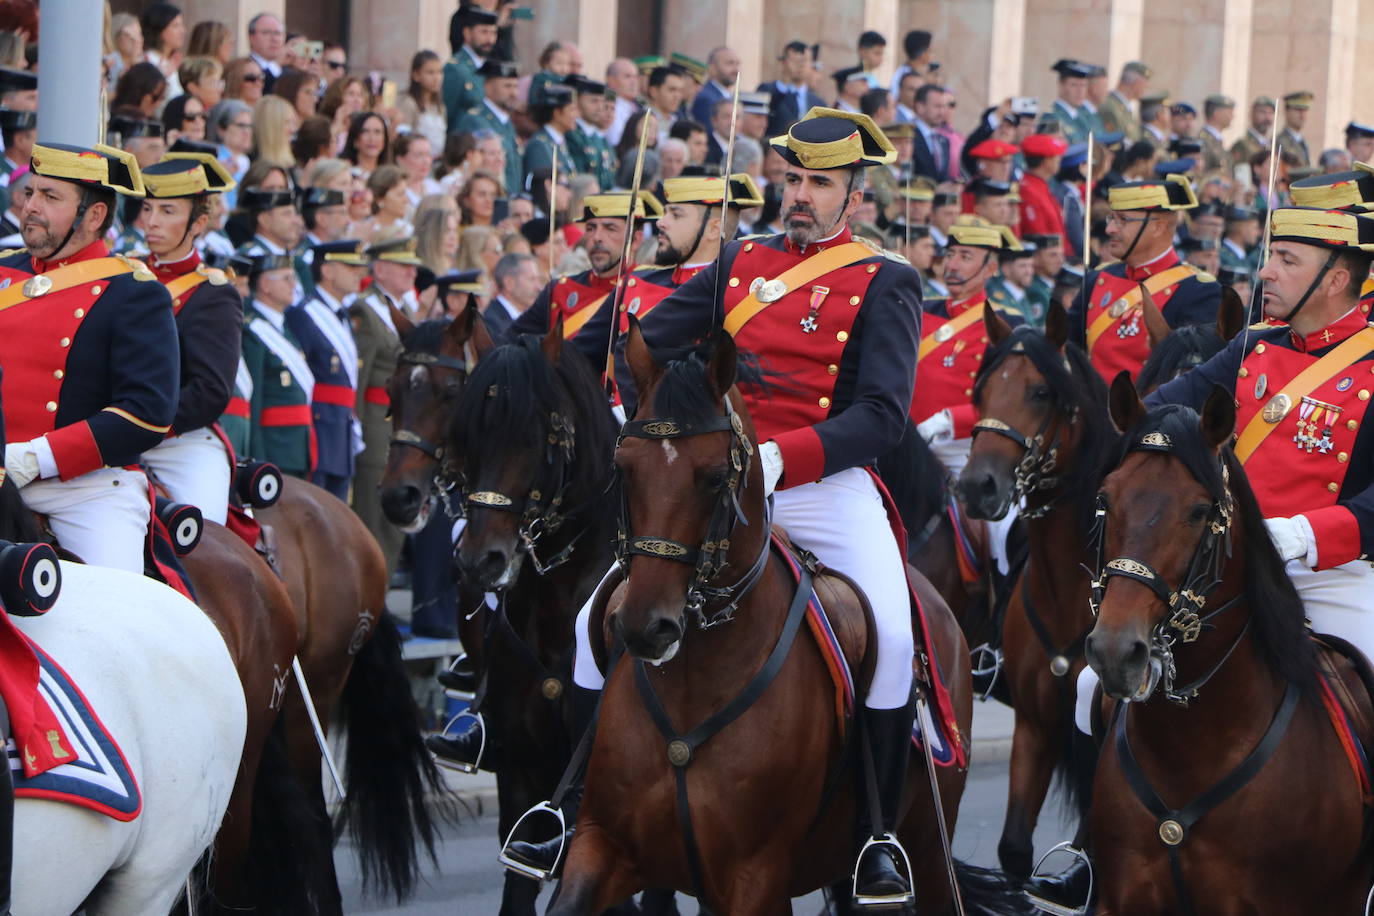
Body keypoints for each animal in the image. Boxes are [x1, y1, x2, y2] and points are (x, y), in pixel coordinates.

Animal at [546, 325, 1011, 916]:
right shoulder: (601, 846)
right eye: (622, 468)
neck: (694, 681)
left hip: (929, 845)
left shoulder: (756, 878)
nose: (644, 628)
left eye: (714, 477)